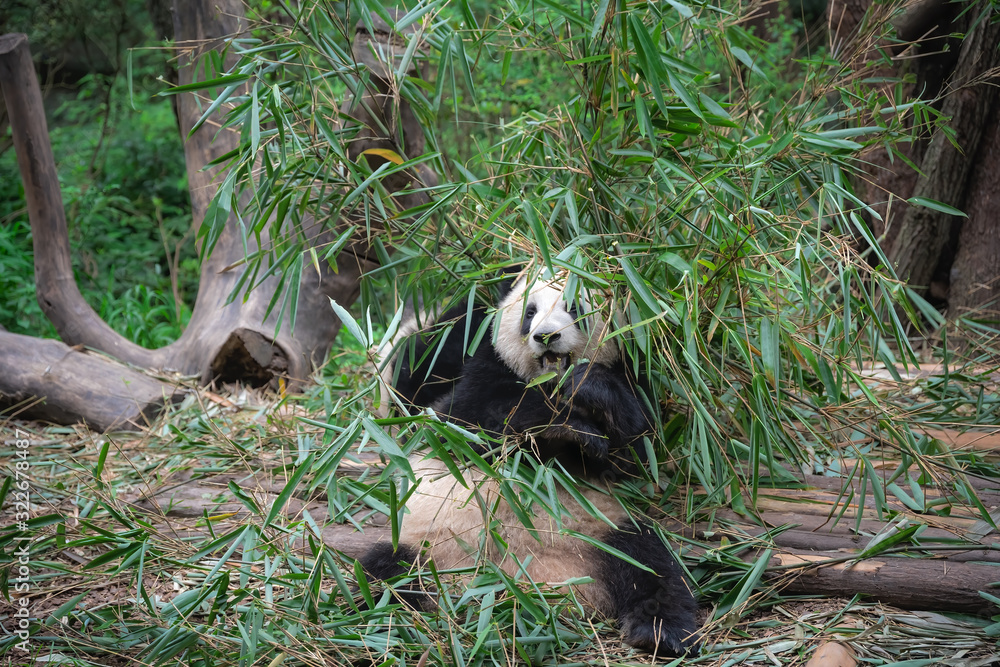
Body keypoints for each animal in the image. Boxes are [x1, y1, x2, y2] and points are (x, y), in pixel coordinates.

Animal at [362, 269, 700, 656]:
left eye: (575, 307)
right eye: (530, 312)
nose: (546, 336)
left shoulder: (633, 373)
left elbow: (637, 450)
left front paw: (588, 389)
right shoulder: (473, 373)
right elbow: (477, 416)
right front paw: (571, 427)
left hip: (603, 532)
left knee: (653, 567)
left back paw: (661, 632)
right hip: (432, 546)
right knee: (386, 573)